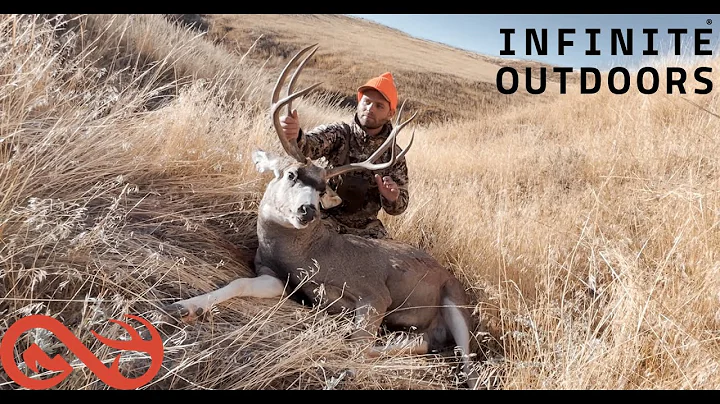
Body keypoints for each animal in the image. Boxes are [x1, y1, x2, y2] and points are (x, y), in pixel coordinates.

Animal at [162, 44, 481, 389]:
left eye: (322, 188)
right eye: (290, 174)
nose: (308, 210)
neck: (309, 255)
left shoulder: (375, 294)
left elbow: (358, 342)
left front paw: (344, 367)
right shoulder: (277, 278)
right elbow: (238, 283)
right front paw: (184, 306)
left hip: (456, 304)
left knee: (465, 360)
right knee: (422, 341)